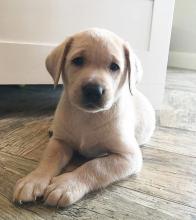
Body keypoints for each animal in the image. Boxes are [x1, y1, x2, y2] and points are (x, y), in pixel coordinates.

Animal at [13, 28, 155, 207]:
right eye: (78, 61)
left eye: (114, 66)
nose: (94, 90)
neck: (87, 116)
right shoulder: (60, 142)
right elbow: (48, 159)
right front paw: (33, 180)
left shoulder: (128, 155)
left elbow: (96, 166)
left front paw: (66, 185)